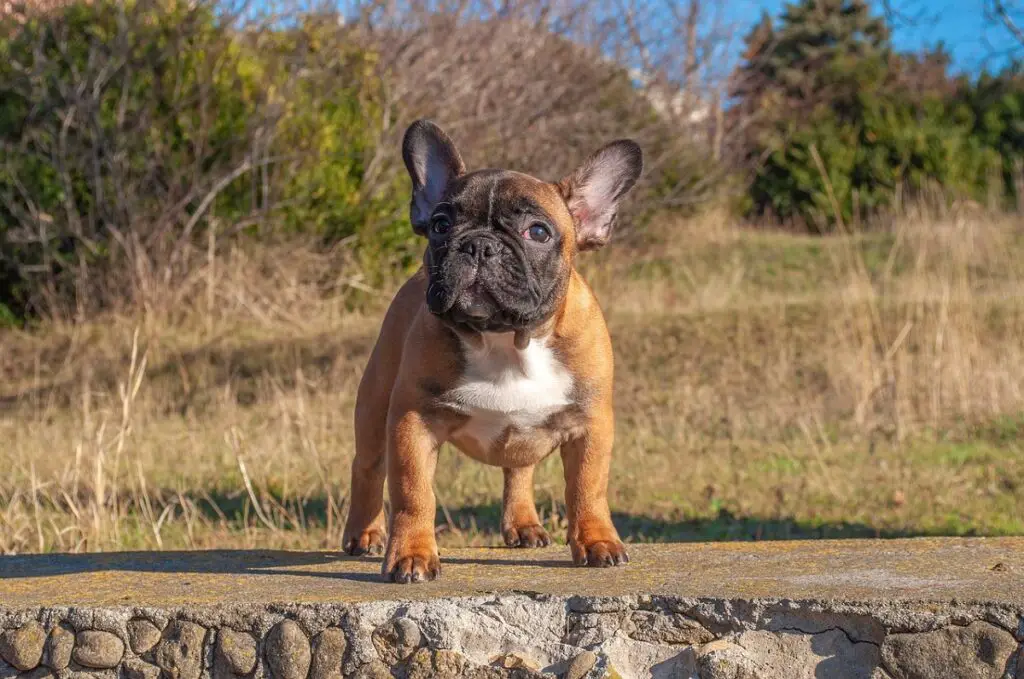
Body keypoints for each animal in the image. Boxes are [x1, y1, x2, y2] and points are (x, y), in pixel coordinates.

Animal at [342, 119, 638, 581]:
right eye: (441, 224)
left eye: (538, 232)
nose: (478, 244)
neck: (505, 342)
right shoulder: (412, 420)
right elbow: (413, 492)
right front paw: (411, 555)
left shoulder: (590, 425)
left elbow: (587, 488)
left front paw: (597, 542)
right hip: (374, 403)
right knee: (368, 467)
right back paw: (364, 534)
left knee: (518, 469)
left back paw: (524, 524)